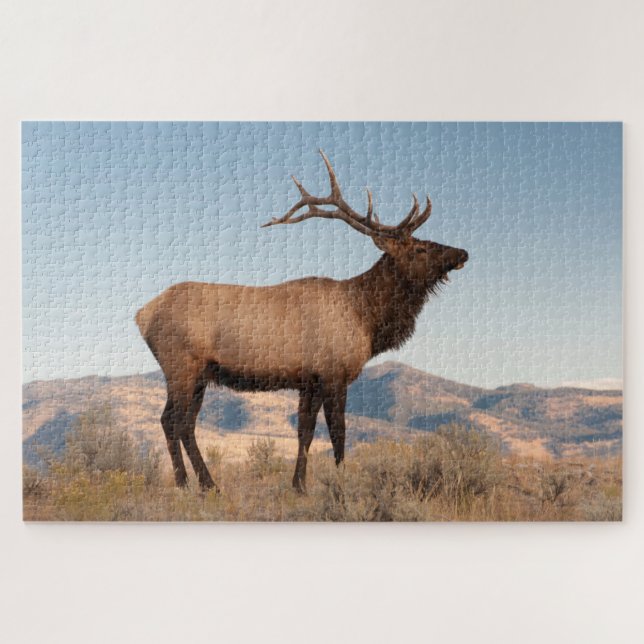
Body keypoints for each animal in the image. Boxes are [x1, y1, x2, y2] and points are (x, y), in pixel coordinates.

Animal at [136, 151, 468, 493]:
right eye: (420, 248)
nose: (462, 253)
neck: (367, 319)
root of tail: (143, 315)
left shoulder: (309, 380)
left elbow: (305, 432)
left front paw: (299, 485)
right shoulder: (334, 373)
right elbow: (338, 432)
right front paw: (341, 483)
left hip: (200, 374)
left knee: (183, 423)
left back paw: (202, 483)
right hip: (181, 366)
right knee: (172, 421)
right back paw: (190, 483)